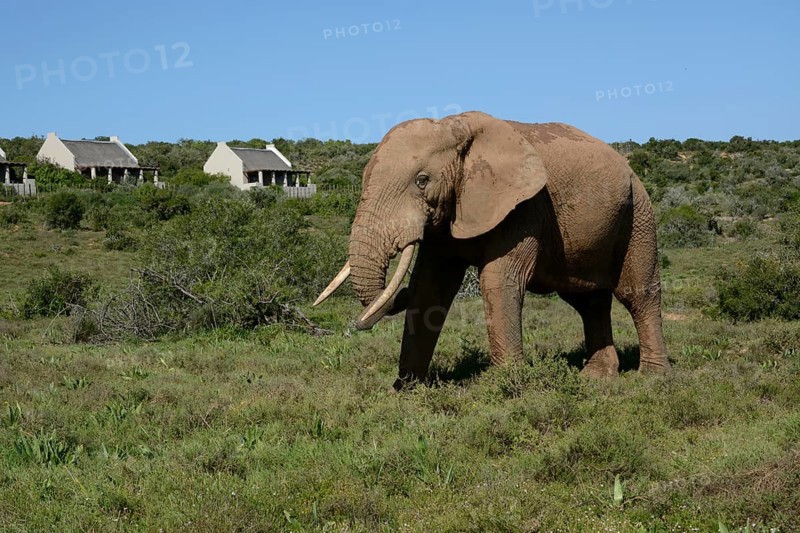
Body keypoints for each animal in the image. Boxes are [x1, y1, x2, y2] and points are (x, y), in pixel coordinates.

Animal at [314, 111, 670, 390]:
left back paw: (652, 378)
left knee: (637, 294)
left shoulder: (525, 206)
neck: (453, 128)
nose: (395, 292)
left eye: (422, 180)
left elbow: (498, 281)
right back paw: (596, 378)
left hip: (639, 212)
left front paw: (511, 387)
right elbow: (429, 287)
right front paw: (407, 390)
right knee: (588, 301)